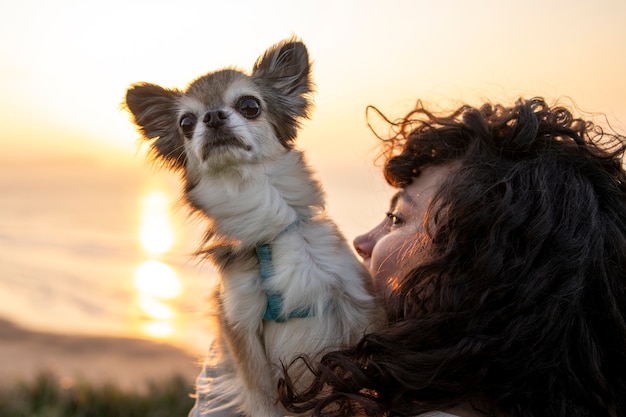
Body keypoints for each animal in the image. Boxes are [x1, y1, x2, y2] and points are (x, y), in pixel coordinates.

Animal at [122, 39, 376, 416]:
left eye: (250, 106)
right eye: (186, 123)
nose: (212, 117)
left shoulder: (355, 302)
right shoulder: (241, 323)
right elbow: (262, 397)